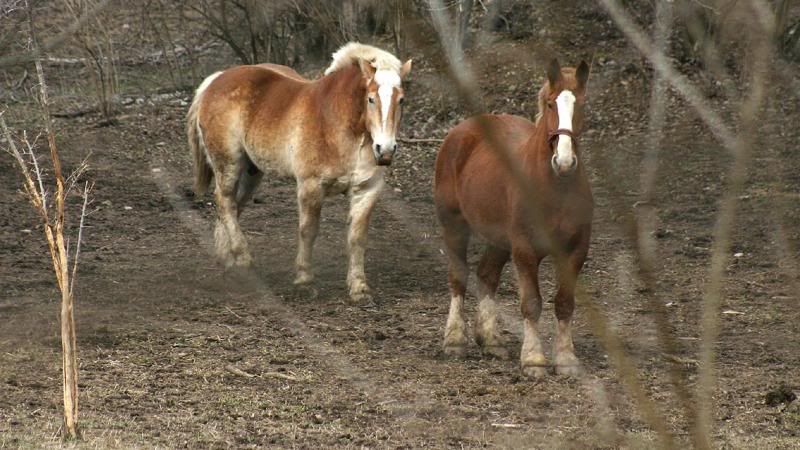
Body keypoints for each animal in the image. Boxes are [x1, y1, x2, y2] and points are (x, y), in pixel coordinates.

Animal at [186, 43, 412, 302]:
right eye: (371, 99)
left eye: (401, 100)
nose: (385, 150)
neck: (339, 124)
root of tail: (215, 80)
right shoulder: (310, 186)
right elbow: (308, 231)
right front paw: (304, 281)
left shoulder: (366, 190)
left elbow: (357, 238)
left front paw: (359, 287)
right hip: (228, 164)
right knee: (224, 201)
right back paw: (243, 259)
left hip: (252, 171)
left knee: (233, 205)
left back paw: (228, 259)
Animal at [434, 59, 592, 376]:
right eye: (550, 103)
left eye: (581, 104)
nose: (564, 161)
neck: (556, 187)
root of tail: (461, 131)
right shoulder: (525, 249)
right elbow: (531, 303)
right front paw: (533, 359)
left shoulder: (575, 250)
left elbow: (565, 303)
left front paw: (566, 358)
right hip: (455, 225)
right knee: (458, 277)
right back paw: (455, 340)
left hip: (499, 240)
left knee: (486, 274)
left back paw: (491, 340)